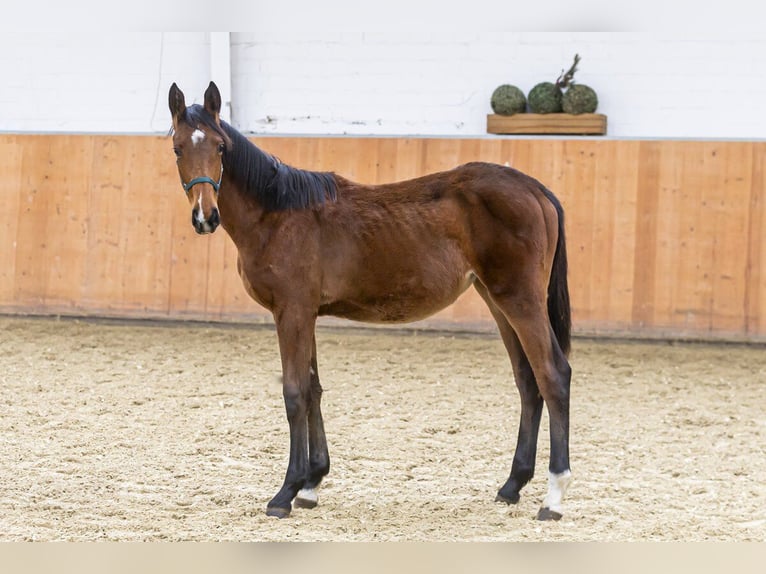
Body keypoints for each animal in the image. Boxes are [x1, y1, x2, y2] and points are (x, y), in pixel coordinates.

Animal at [170, 82, 576, 528]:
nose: (205, 216)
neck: (278, 214)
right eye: (177, 148)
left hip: (521, 301)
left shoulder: (291, 312)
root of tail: (535, 189)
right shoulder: (305, 313)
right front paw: (311, 484)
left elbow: (294, 394)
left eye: (220, 147)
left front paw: (285, 492)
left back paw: (554, 497)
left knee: (553, 376)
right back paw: (512, 486)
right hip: (498, 301)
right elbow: (313, 389)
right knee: (527, 382)